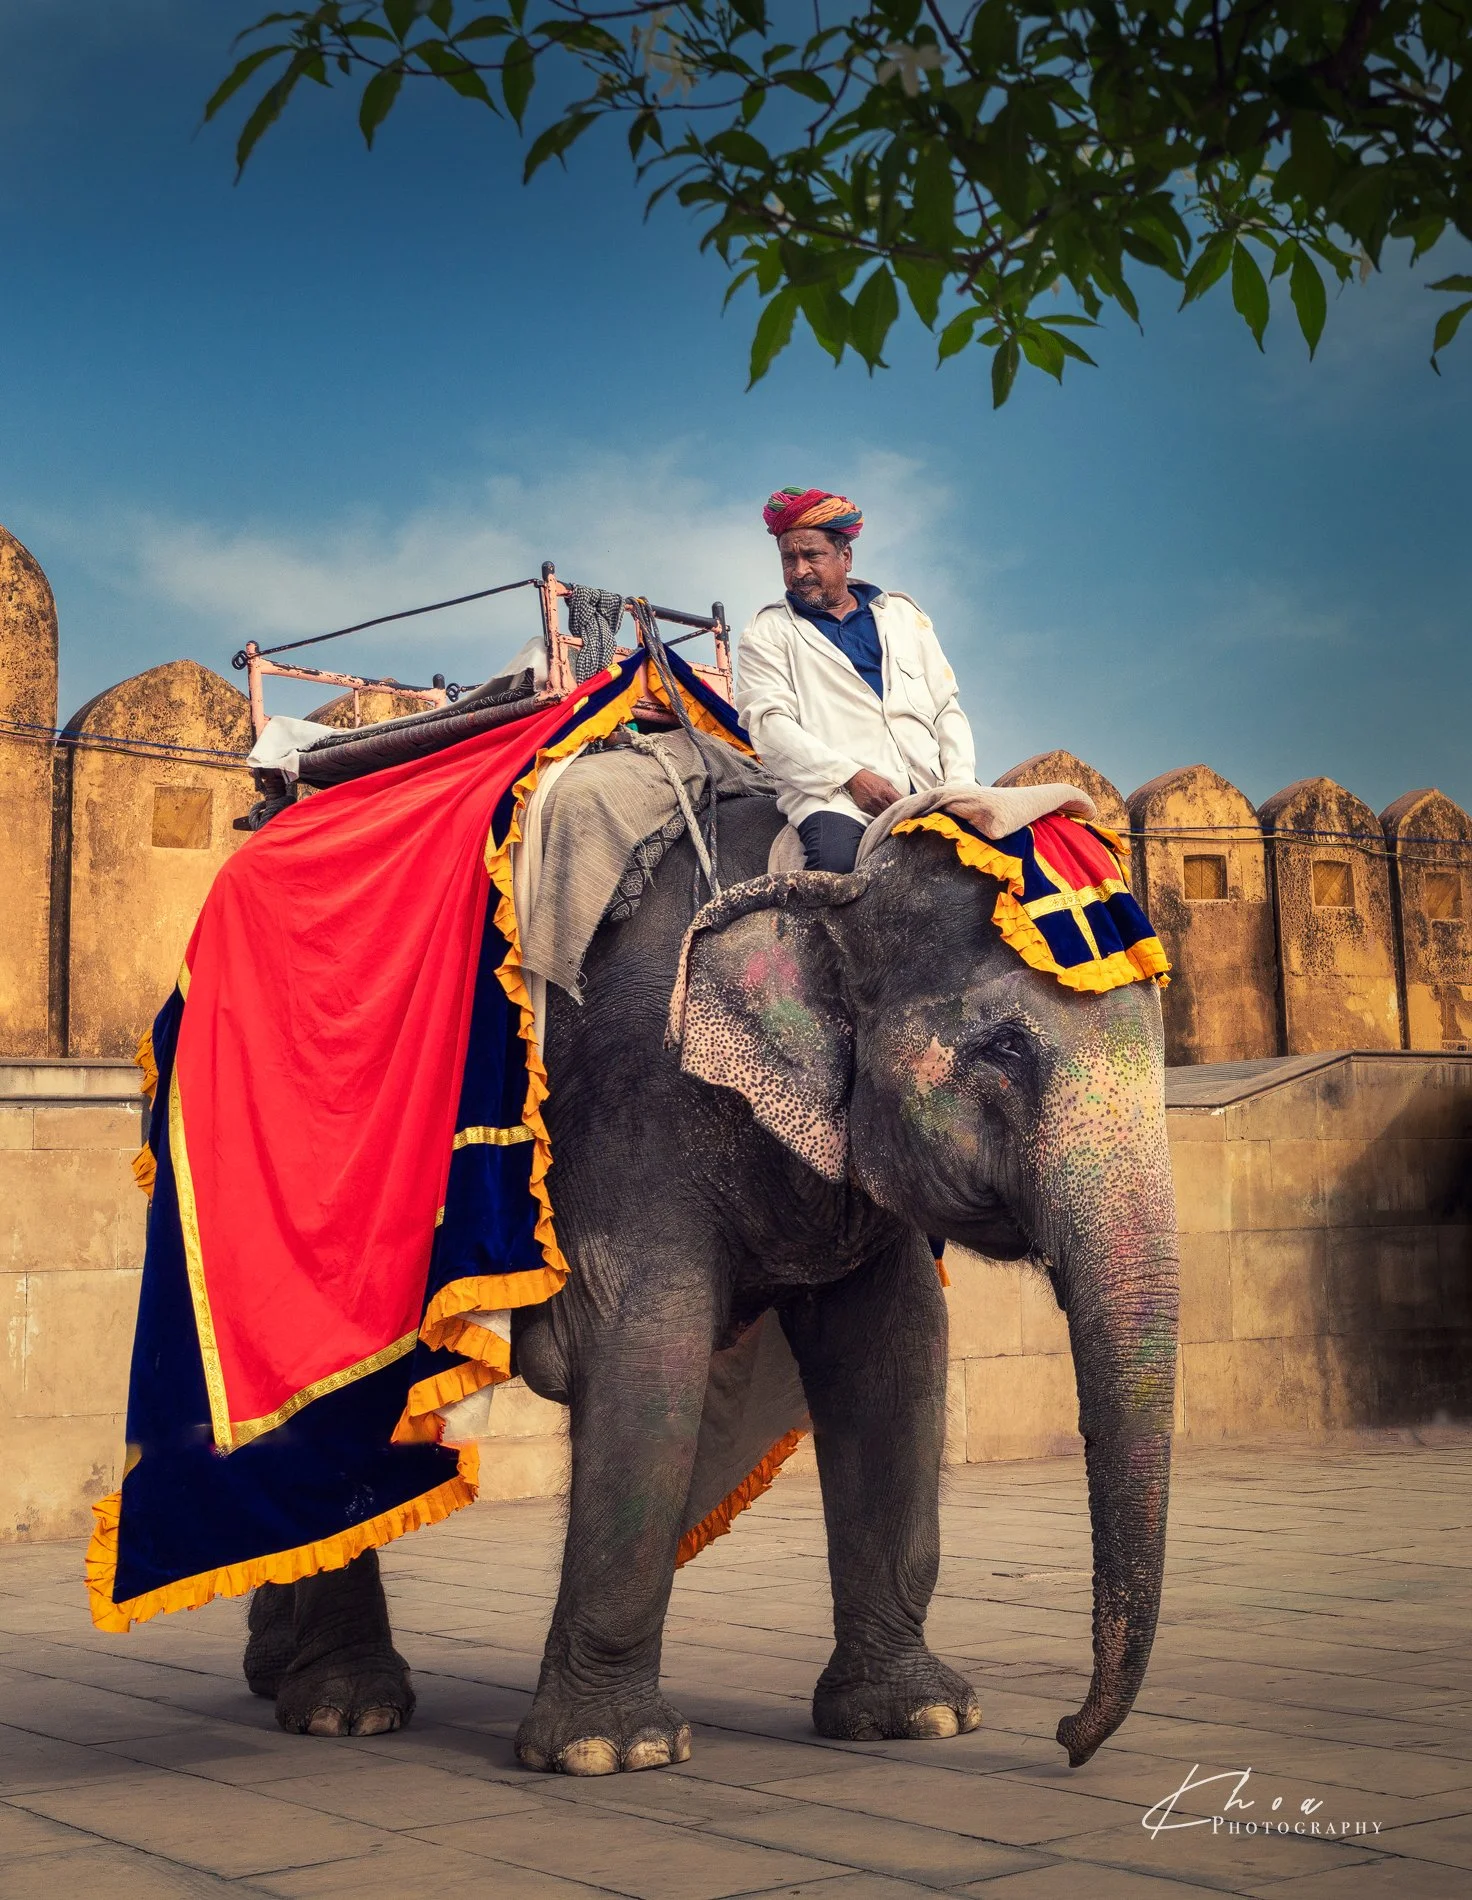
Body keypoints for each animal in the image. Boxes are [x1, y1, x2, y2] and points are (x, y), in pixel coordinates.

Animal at [243, 790, 1179, 1773]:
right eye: (1004, 1050)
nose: (1068, 1741)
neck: (821, 885)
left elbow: (896, 1355)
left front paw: (915, 1720)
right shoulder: (636, 1097)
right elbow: (649, 1348)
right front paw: (610, 1753)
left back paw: (283, 1675)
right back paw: (347, 1710)